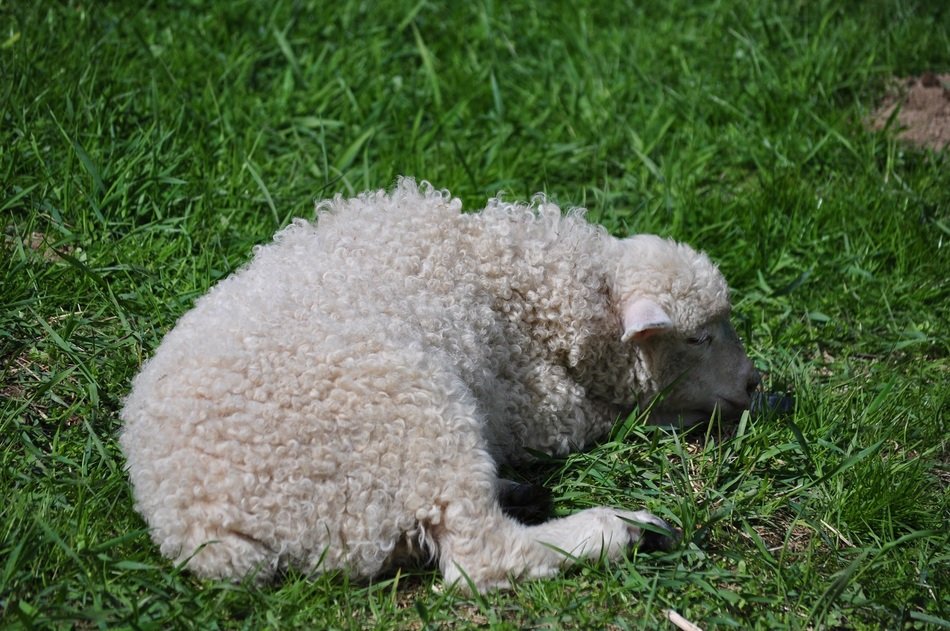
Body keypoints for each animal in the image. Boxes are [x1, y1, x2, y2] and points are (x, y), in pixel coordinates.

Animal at [119, 177, 760, 592]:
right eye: (698, 338)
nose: (755, 383)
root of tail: (201, 527)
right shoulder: (534, 403)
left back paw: (522, 493)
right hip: (413, 413)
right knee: (482, 558)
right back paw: (627, 530)